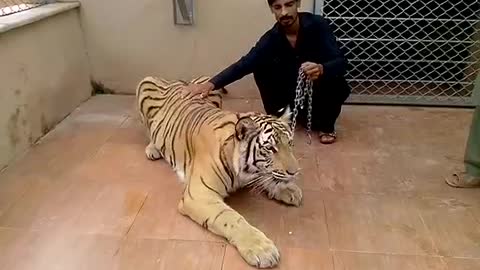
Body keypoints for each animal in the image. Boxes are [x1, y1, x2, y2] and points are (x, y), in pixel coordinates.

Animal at [133, 74, 302, 268]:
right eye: (270, 148)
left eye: (290, 144)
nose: (295, 172)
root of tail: (176, 80)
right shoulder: (200, 195)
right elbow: (231, 219)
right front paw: (263, 250)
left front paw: (288, 189)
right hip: (144, 83)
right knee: (150, 132)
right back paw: (152, 148)